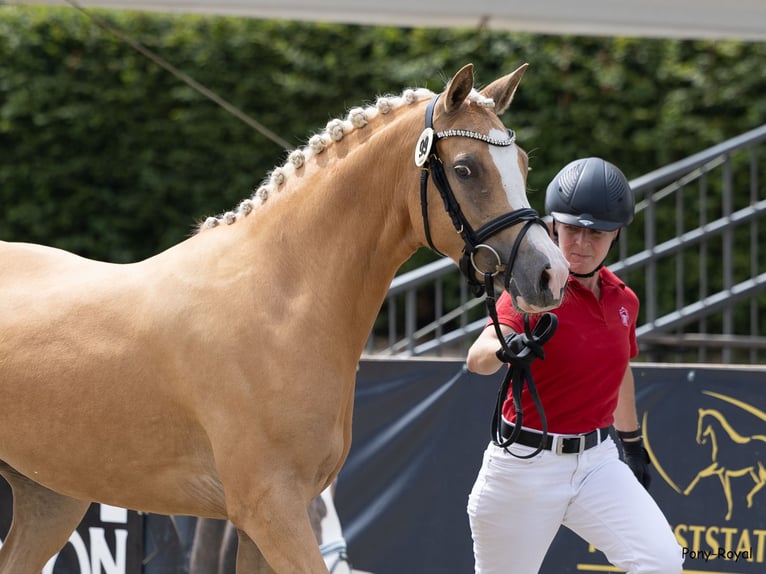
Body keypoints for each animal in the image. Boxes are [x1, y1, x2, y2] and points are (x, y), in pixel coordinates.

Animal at [0, 63, 569, 573]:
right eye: (467, 168)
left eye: (522, 164)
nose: (551, 274)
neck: (281, 300)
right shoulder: (271, 511)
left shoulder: (267, 522)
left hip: (51, 500)